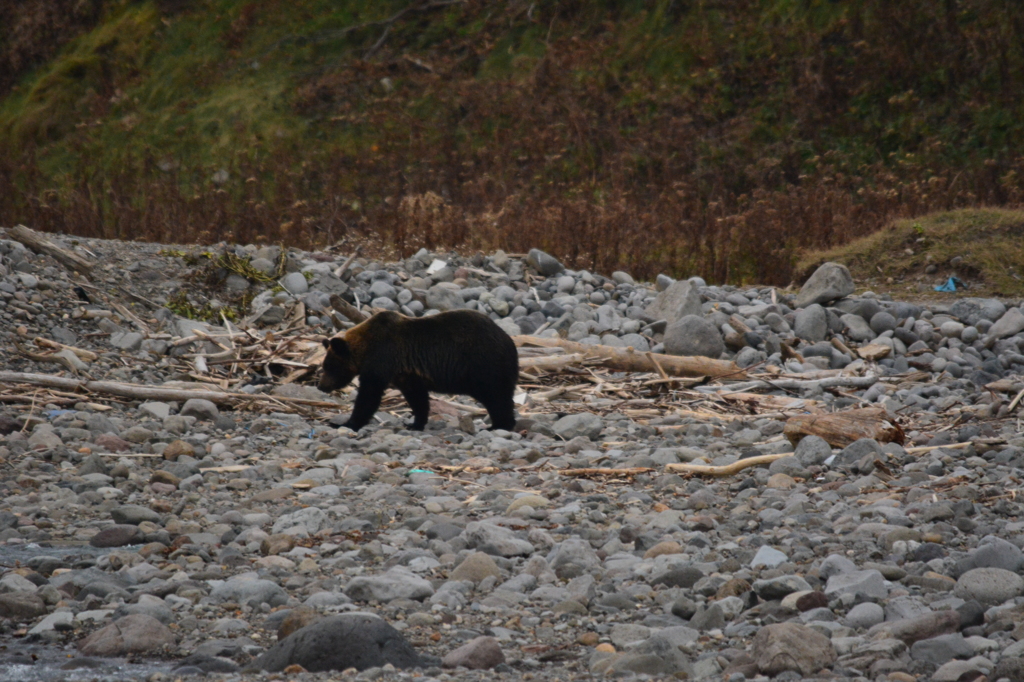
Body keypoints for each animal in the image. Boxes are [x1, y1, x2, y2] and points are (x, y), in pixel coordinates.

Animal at [319, 309, 520, 430]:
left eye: (329, 366)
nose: (321, 386)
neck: (366, 347)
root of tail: (509, 341)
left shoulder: (383, 358)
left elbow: (369, 395)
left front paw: (347, 423)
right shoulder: (407, 374)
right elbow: (417, 398)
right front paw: (415, 423)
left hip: (483, 364)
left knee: (496, 396)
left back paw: (500, 425)